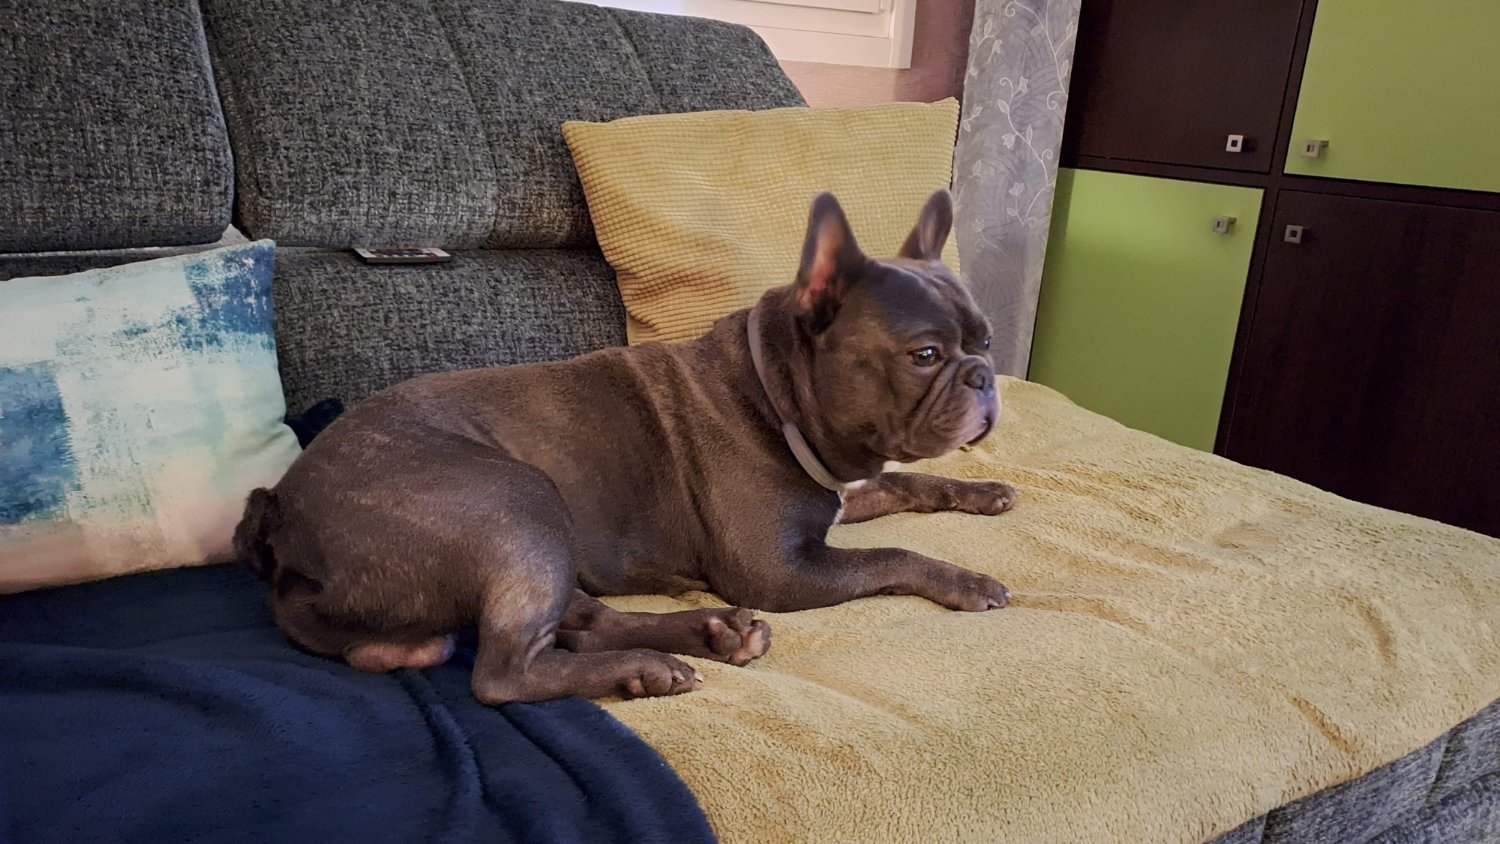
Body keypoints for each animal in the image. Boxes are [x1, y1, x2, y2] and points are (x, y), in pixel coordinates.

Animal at [234, 189, 1017, 704]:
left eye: (985, 341)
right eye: (923, 355)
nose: (983, 377)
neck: (774, 390)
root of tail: (281, 511)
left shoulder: (839, 493)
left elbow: (906, 485)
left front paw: (983, 492)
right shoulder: (780, 571)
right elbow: (892, 555)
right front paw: (967, 580)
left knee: (582, 623)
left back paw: (706, 635)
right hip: (519, 503)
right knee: (507, 671)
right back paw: (651, 665)